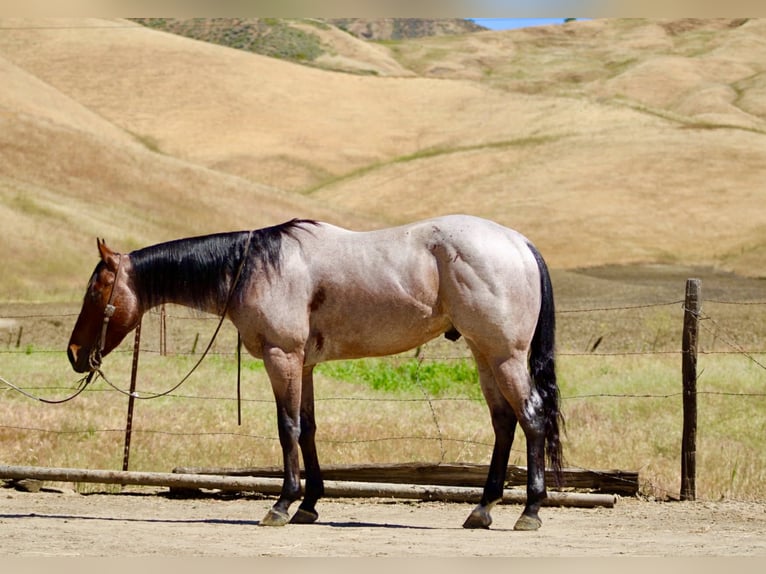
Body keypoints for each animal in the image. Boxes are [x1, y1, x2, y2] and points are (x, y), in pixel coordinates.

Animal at [67, 214, 563, 531]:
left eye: (95, 290)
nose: (74, 353)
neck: (255, 266)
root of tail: (518, 243)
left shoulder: (281, 357)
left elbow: (287, 427)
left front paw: (282, 504)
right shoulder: (302, 364)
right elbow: (307, 429)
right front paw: (308, 504)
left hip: (504, 356)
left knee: (532, 418)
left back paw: (530, 511)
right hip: (485, 355)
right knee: (504, 422)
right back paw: (482, 509)